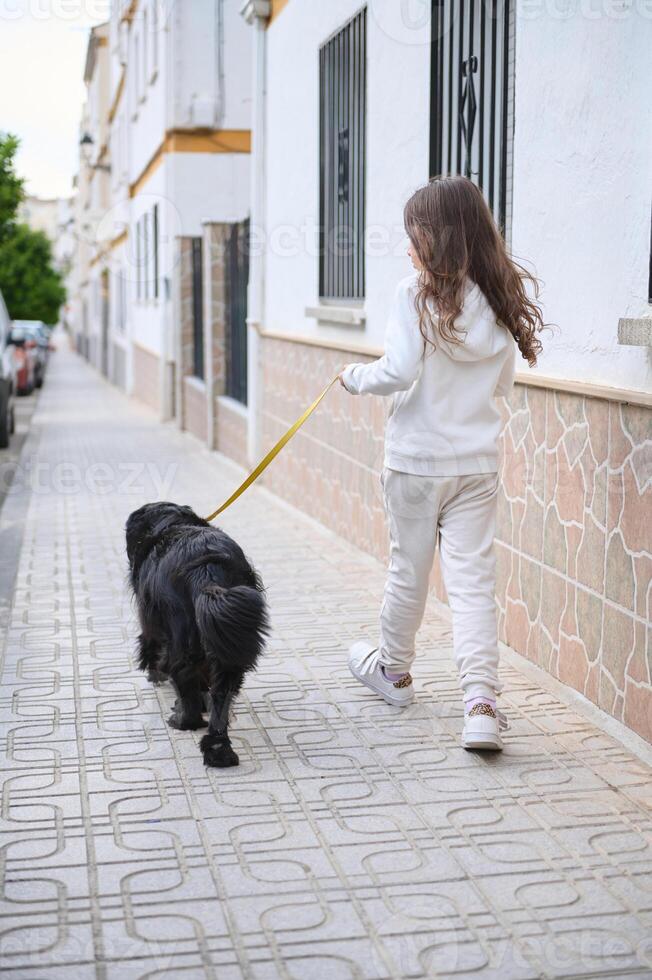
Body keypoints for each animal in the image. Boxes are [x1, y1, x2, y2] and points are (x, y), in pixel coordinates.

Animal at [126, 502, 268, 768]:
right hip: (228, 643)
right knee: (222, 691)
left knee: (182, 675)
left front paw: (155, 675)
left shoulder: (149, 616)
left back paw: (183, 720)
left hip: (181, 635)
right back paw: (219, 749)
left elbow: (150, 646)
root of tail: (207, 569)